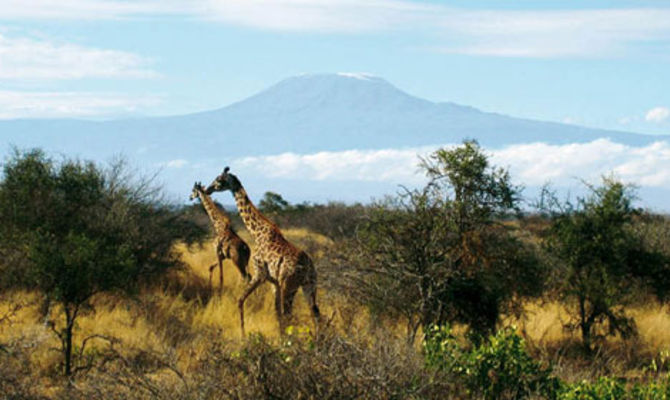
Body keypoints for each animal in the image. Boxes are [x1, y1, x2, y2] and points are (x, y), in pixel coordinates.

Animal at [206, 167, 322, 336]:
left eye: (219, 179)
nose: (208, 189)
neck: (256, 232)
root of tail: (308, 267)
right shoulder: (274, 282)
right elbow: (276, 313)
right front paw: (280, 338)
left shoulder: (259, 274)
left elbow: (240, 300)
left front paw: (243, 335)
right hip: (310, 285)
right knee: (315, 313)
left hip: (290, 285)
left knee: (290, 314)